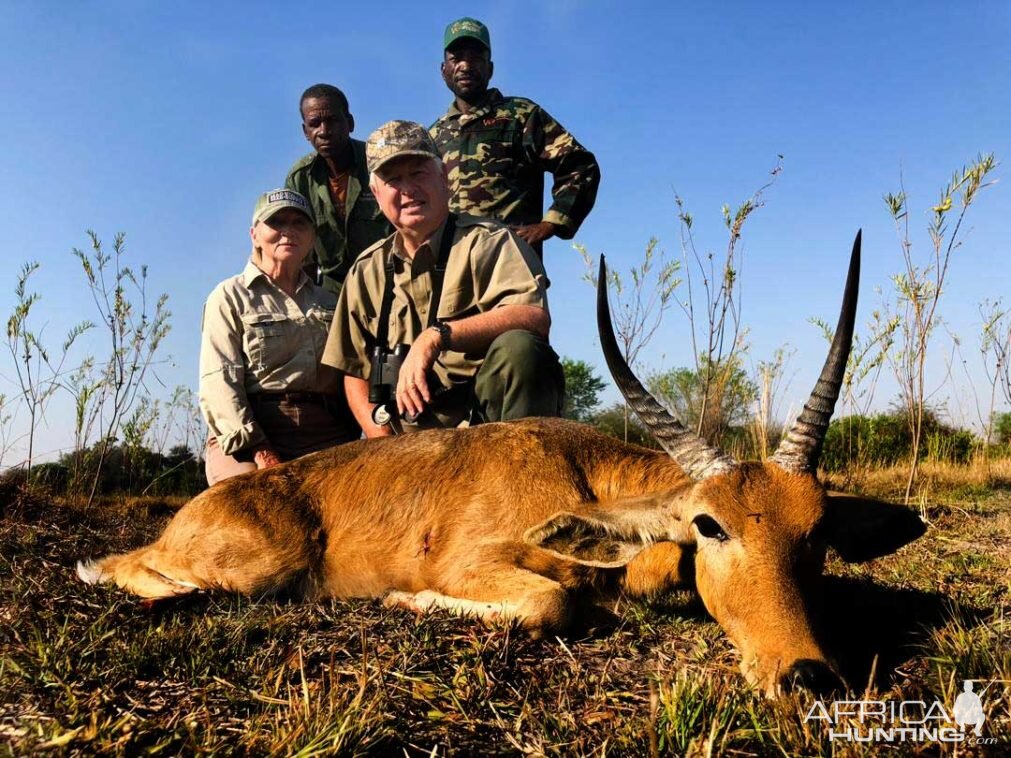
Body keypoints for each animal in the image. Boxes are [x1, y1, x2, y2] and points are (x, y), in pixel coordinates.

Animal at [76, 230, 926, 695]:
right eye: (710, 525)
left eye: (815, 531)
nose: (806, 674)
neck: (577, 468)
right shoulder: (482, 564)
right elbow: (553, 606)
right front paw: (404, 599)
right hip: (256, 563)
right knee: (128, 567)